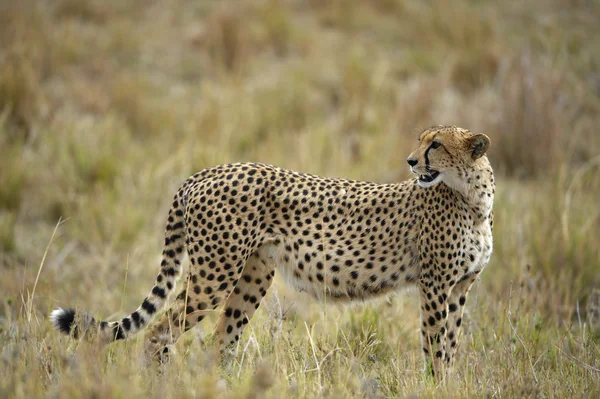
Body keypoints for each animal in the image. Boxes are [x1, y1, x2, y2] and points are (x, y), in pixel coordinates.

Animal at [51, 126, 494, 382]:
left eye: (435, 143)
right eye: (422, 140)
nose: (411, 160)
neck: (474, 200)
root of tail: (205, 172)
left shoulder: (459, 288)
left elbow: (450, 343)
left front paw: (448, 385)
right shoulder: (435, 285)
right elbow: (435, 344)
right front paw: (435, 385)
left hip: (252, 275)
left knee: (221, 339)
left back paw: (226, 387)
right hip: (215, 273)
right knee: (160, 331)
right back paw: (156, 385)